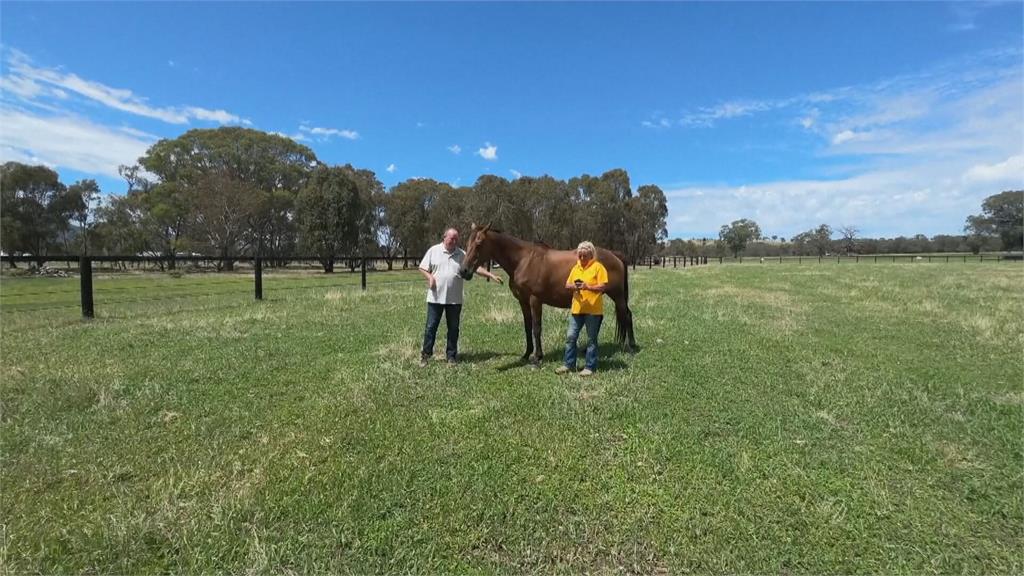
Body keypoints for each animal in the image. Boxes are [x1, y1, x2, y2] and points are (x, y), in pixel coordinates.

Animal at [456, 224, 630, 362]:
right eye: (467, 243)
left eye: (479, 243)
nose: (464, 271)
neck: (523, 260)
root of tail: (615, 255)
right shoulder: (523, 301)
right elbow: (527, 327)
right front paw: (526, 354)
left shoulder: (535, 300)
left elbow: (536, 327)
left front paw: (537, 357)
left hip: (617, 296)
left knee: (627, 315)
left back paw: (631, 347)